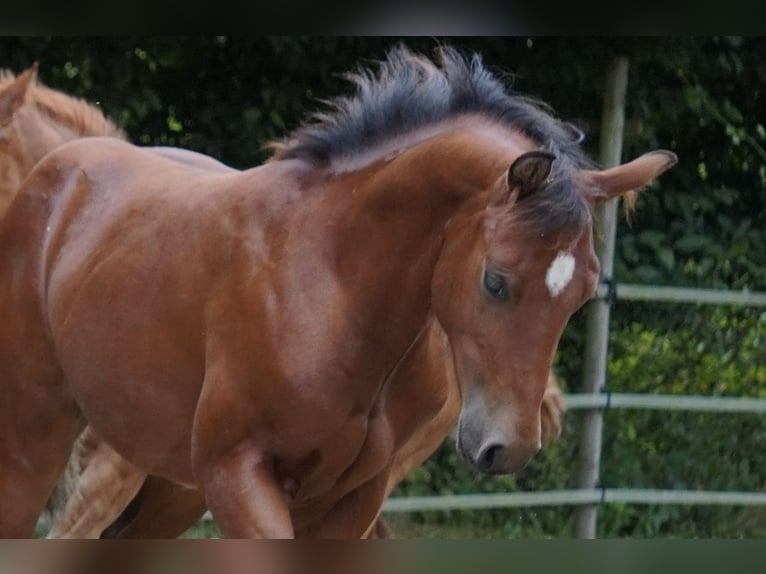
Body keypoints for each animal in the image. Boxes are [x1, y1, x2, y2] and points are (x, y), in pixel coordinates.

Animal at [0, 48, 676, 540]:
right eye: (496, 279)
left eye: (582, 292)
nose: (505, 448)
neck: (333, 291)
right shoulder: (234, 474)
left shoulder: (352, 498)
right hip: (38, 443)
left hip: (167, 491)